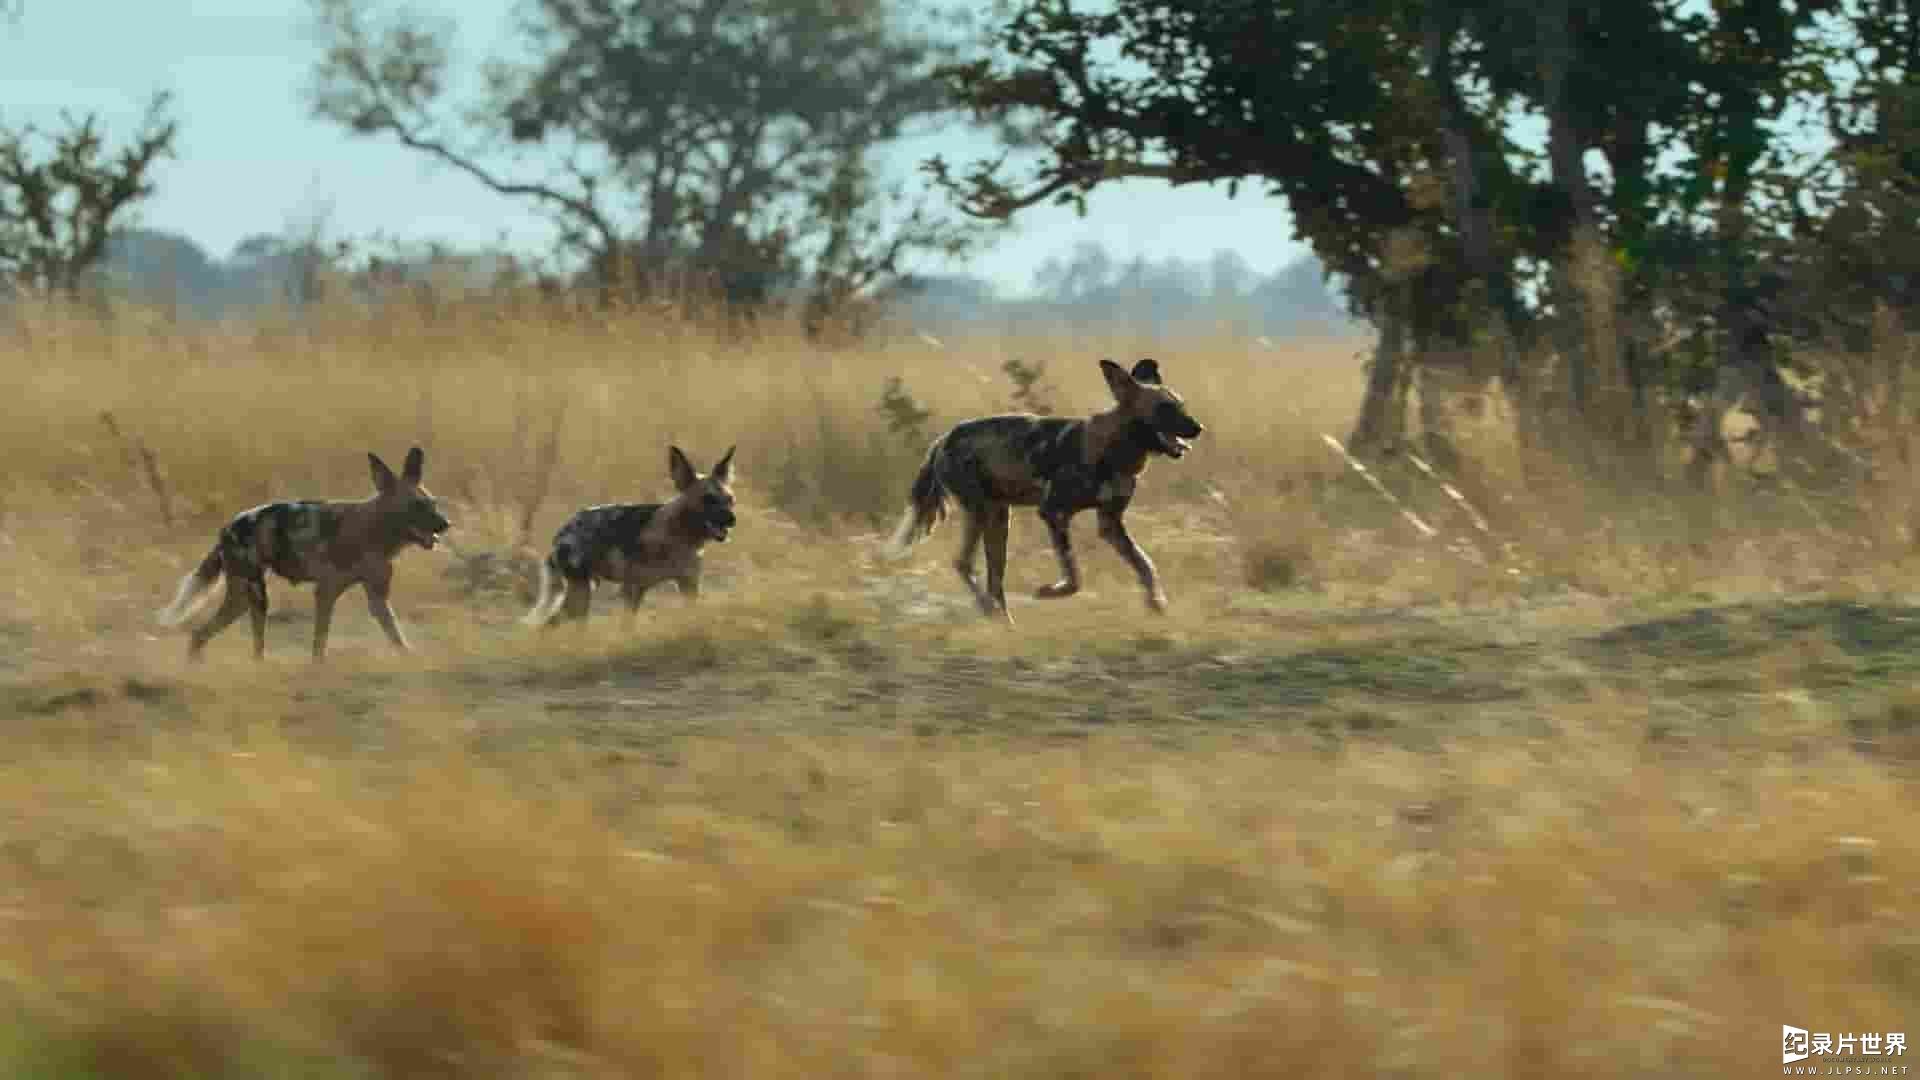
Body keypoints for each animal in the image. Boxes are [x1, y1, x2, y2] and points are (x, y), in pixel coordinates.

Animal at [155, 443, 451, 657]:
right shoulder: (326, 592)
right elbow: (319, 645)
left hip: (247, 601)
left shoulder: (377, 599)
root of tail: (228, 528)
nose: (446, 524)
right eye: (416, 506)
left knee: (207, 637)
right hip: (251, 595)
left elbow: (397, 638)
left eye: (433, 503)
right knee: (205, 636)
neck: (373, 530)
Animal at [522, 440, 737, 622]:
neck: (679, 535)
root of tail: (561, 533)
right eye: (708, 499)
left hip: (586, 589)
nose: (732, 520)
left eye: (730, 499)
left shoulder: (688, 587)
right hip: (580, 595)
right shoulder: (632, 591)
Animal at [879, 355, 1198, 618]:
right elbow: (1074, 576)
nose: (1199, 428)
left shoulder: (1110, 523)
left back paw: (1004, 625)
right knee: (964, 564)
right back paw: (989, 613)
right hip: (982, 513)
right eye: (1164, 409)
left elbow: (1145, 565)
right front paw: (1049, 592)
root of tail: (943, 439)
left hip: (999, 519)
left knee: (994, 581)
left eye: (1181, 405)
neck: (1114, 449)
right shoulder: (1053, 513)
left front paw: (1156, 603)